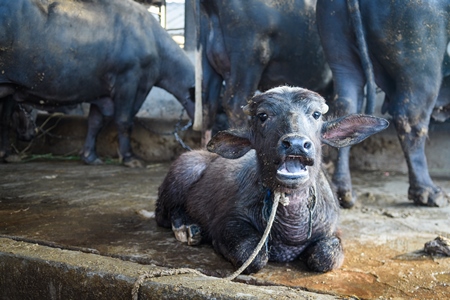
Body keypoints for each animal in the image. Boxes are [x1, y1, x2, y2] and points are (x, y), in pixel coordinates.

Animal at [0, 0, 196, 166]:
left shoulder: (101, 92)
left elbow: (95, 122)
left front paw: (90, 156)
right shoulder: (131, 81)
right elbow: (125, 120)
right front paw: (130, 158)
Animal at [156, 86, 386, 274]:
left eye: (316, 114)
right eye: (263, 115)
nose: (296, 144)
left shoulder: (332, 229)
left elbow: (325, 257)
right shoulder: (227, 222)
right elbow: (254, 257)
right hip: (183, 173)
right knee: (164, 214)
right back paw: (188, 229)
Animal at [316, 0, 450, 207]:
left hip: (341, 56)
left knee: (346, 106)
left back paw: (344, 193)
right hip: (421, 63)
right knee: (410, 119)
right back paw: (429, 192)